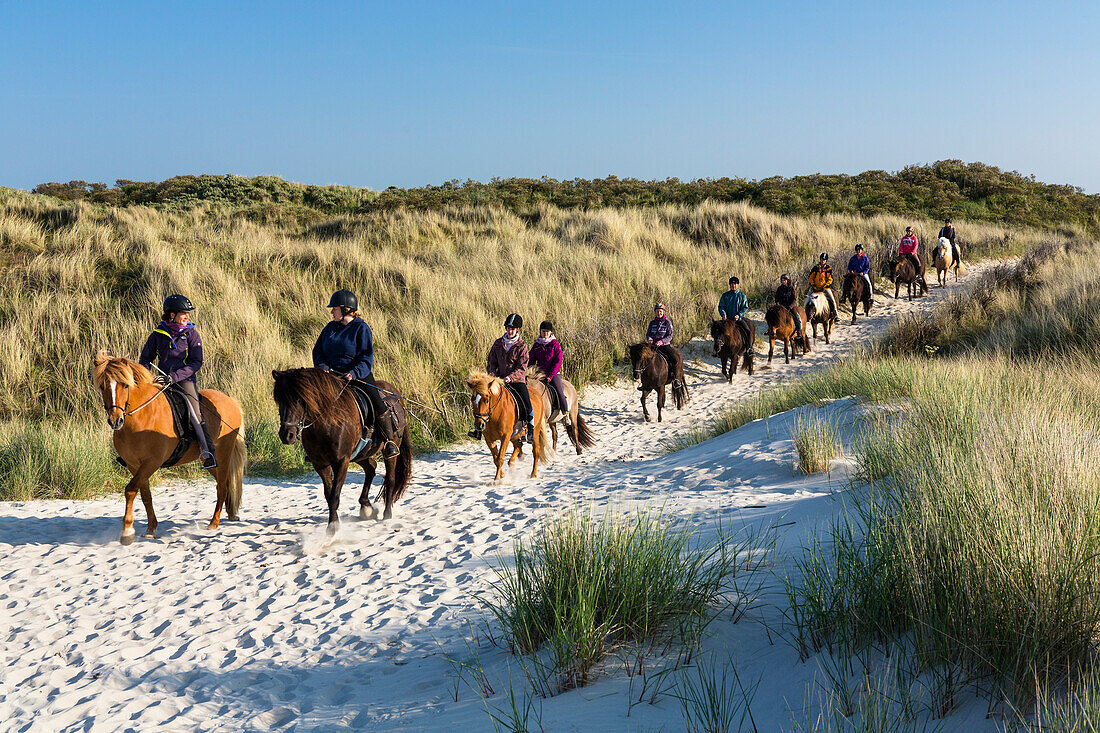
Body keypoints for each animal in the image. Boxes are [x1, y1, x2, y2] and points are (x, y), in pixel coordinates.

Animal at [93, 352, 246, 545]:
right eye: (102, 386)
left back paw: (214, 523)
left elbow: (130, 490)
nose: (115, 421)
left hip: (224, 455)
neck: (141, 417)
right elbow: (145, 495)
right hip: (211, 461)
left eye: (125, 385)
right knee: (223, 483)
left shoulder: (152, 462)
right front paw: (151, 529)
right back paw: (229, 514)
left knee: (222, 487)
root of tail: (231, 401)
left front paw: (127, 531)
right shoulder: (134, 465)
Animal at [273, 367, 413, 534]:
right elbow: (329, 495)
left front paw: (332, 529)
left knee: (390, 479)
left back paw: (387, 515)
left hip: (388, 451)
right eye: (279, 400)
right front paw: (335, 523)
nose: (287, 435)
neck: (327, 421)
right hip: (361, 454)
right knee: (371, 467)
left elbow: (334, 496)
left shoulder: (341, 461)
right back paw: (366, 506)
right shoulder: (320, 464)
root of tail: (395, 394)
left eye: (299, 399)